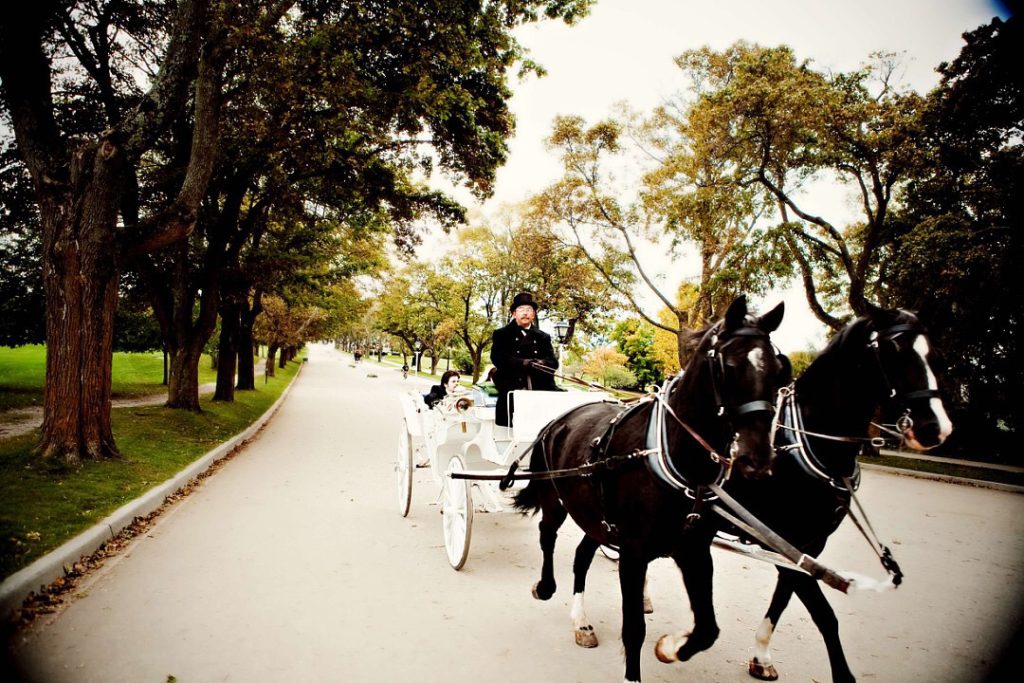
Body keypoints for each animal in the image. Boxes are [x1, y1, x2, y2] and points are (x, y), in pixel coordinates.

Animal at [509, 296, 782, 683]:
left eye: (778, 369)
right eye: (728, 366)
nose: (758, 458)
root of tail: (559, 419)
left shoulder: (694, 551)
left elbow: (708, 629)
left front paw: (671, 648)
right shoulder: (634, 552)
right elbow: (634, 628)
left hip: (595, 518)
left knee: (581, 556)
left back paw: (581, 622)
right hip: (555, 499)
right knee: (547, 534)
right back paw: (546, 586)